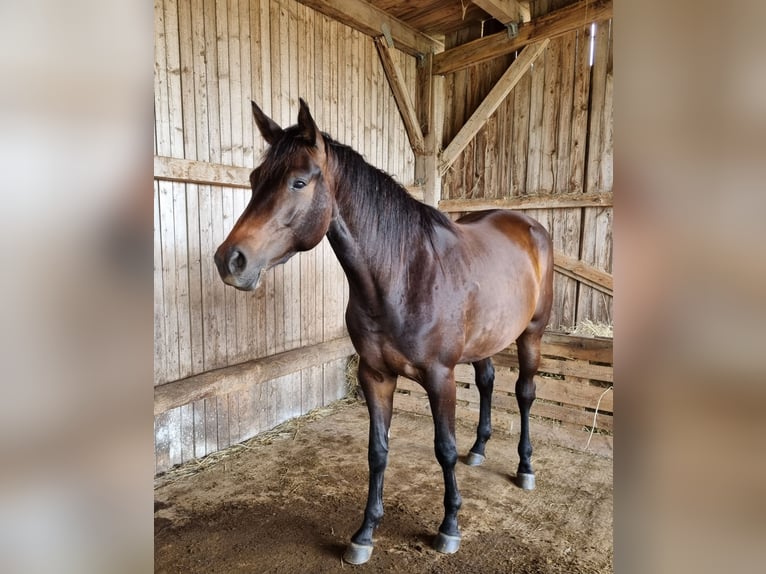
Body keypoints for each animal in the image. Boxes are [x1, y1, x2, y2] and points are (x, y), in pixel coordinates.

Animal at [213, 100, 556, 568]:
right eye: (252, 179)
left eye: (299, 181)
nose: (230, 261)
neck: (404, 275)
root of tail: (529, 225)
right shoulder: (375, 376)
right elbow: (377, 451)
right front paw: (365, 534)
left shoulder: (440, 377)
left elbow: (444, 448)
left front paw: (449, 527)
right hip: (486, 339)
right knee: (487, 382)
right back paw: (479, 450)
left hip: (531, 335)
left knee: (524, 394)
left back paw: (525, 468)